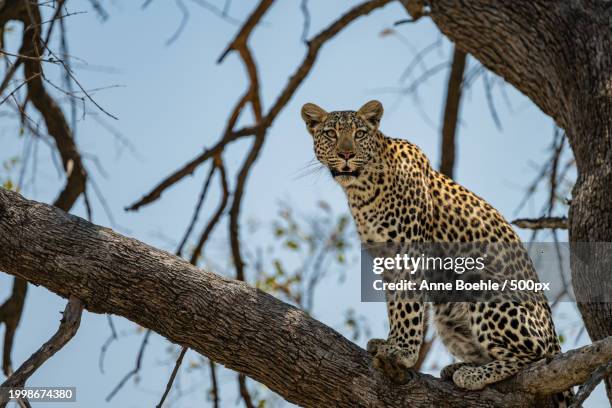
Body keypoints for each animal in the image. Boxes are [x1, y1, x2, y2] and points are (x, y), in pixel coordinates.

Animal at [302, 99, 572, 408]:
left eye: (359, 134)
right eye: (331, 134)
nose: (346, 154)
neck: (362, 189)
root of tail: (555, 341)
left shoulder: (410, 251)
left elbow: (408, 306)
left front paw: (402, 352)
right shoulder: (387, 259)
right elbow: (395, 305)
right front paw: (389, 343)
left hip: (481, 282)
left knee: (533, 357)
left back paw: (472, 375)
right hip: (448, 316)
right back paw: (460, 367)